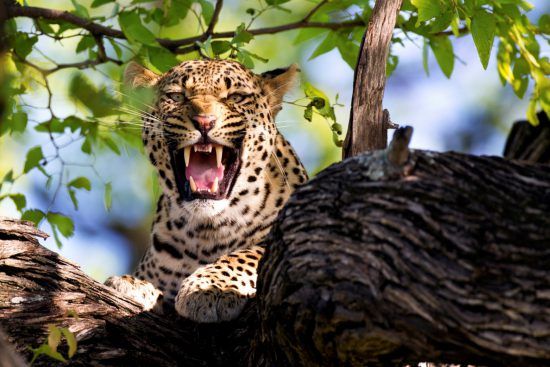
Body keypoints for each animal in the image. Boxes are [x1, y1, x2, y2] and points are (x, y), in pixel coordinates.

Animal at [105, 59, 308, 324]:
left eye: (236, 97)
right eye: (176, 96)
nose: (204, 121)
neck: (207, 232)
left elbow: (248, 254)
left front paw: (212, 287)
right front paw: (134, 284)